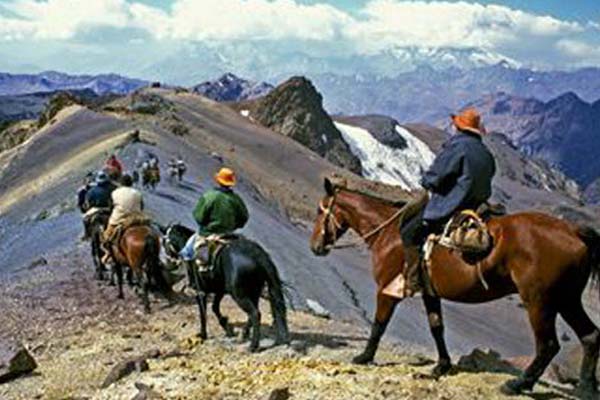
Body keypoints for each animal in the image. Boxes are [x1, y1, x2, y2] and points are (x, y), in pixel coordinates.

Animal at [162, 223, 288, 352]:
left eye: (165, 241)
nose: (169, 259)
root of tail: (259, 256)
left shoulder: (200, 292)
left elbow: (203, 313)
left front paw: (203, 334)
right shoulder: (219, 291)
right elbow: (214, 307)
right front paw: (227, 327)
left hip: (239, 295)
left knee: (255, 313)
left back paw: (252, 346)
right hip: (254, 291)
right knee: (253, 313)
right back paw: (244, 335)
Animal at [310, 177, 600, 396]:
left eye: (320, 209)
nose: (315, 247)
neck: (388, 234)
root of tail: (573, 231)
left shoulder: (387, 290)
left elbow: (379, 324)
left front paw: (364, 357)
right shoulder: (430, 293)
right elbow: (436, 327)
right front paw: (442, 366)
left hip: (540, 301)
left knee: (548, 344)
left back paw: (518, 384)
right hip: (567, 299)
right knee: (590, 336)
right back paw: (586, 388)